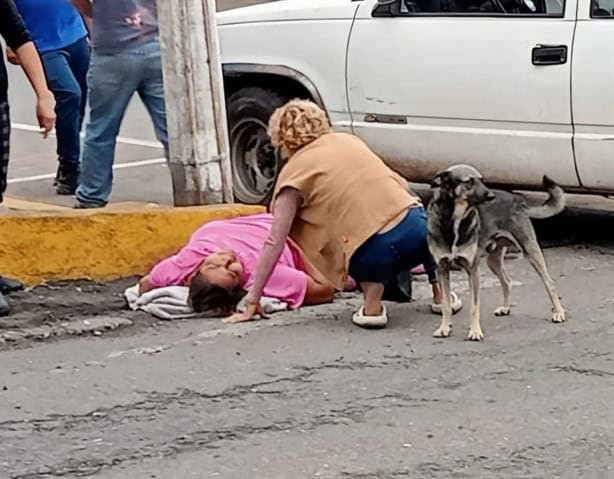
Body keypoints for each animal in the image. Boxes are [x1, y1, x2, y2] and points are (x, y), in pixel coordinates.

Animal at [428, 165, 568, 342]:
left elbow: (474, 306)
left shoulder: (473, 271)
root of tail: (518, 200)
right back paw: (506, 308)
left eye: (482, 179)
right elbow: (446, 305)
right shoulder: (442, 269)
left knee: (549, 283)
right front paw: (444, 328)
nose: (491, 196)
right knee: (507, 281)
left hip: (531, 251)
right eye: (469, 181)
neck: (453, 219)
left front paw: (475, 331)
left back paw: (558, 312)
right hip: (493, 261)